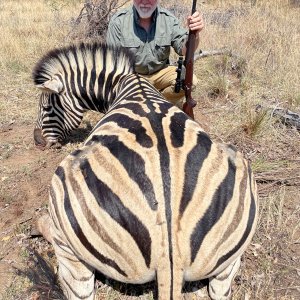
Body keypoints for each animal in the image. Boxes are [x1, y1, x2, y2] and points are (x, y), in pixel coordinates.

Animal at [32, 42, 258, 300]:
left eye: (47, 107)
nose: (37, 142)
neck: (123, 83)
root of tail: (171, 255)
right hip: (229, 259)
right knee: (222, 288)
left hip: (67, 244)